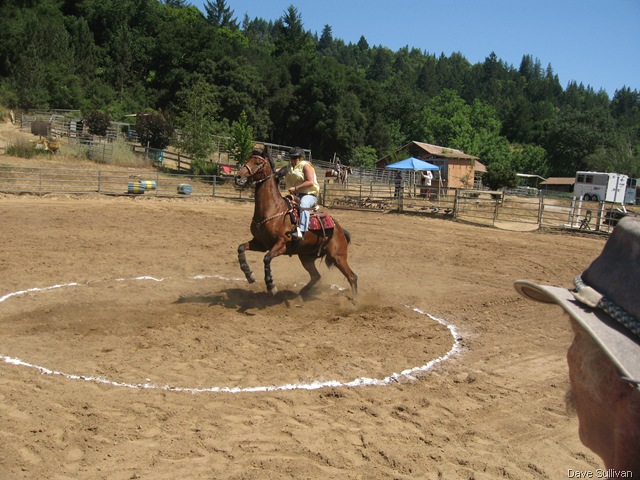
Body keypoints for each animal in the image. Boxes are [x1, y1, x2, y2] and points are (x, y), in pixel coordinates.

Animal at [235, 150, 358, 299]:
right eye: (248, 159)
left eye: (258, 162)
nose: (238, 176)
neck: (273, 209)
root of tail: (339, 228)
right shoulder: (260, 243)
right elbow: (241, 248)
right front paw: (249, 275)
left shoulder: (281, 244)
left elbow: (267, 258)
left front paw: (271, 285)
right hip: (306, 257)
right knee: (316, 276)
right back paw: (303, 292)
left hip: (338, 256)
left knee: (352, 276)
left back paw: (355, 301)